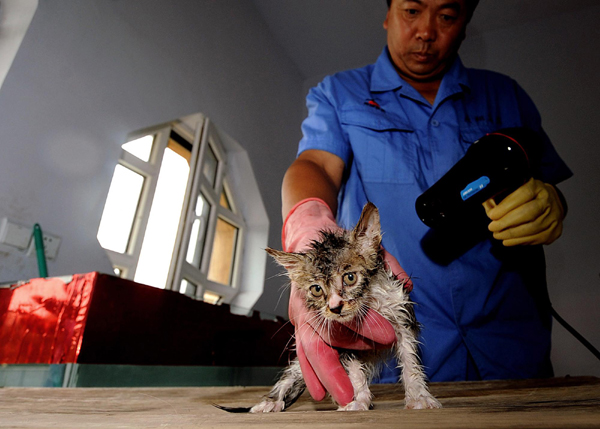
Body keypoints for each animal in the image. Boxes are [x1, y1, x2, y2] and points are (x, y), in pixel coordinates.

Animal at [216, 203, 440, 412]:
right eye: (316, 289)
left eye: (350, 278)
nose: (335, 307)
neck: (370, 304)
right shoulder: (341, 340)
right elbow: (353, 370)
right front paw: (358, 399)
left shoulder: (402, 313)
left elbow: (410, 360)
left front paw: (419, 397)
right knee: (292, 373)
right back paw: (270, 402)